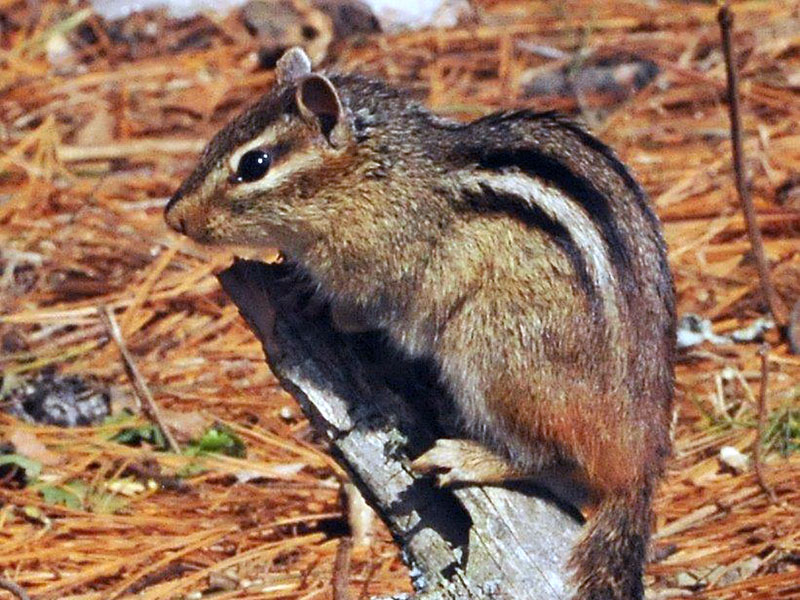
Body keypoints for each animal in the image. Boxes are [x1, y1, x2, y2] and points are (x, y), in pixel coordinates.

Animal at [165, 47, 676, 600]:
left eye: (253, 165)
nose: (173, 218)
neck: (372, 174)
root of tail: (639, 463)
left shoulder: (380, 271)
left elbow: (353, 312)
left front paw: (309, 294)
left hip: (492, 353)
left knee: (546, 458)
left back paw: (468, 457)